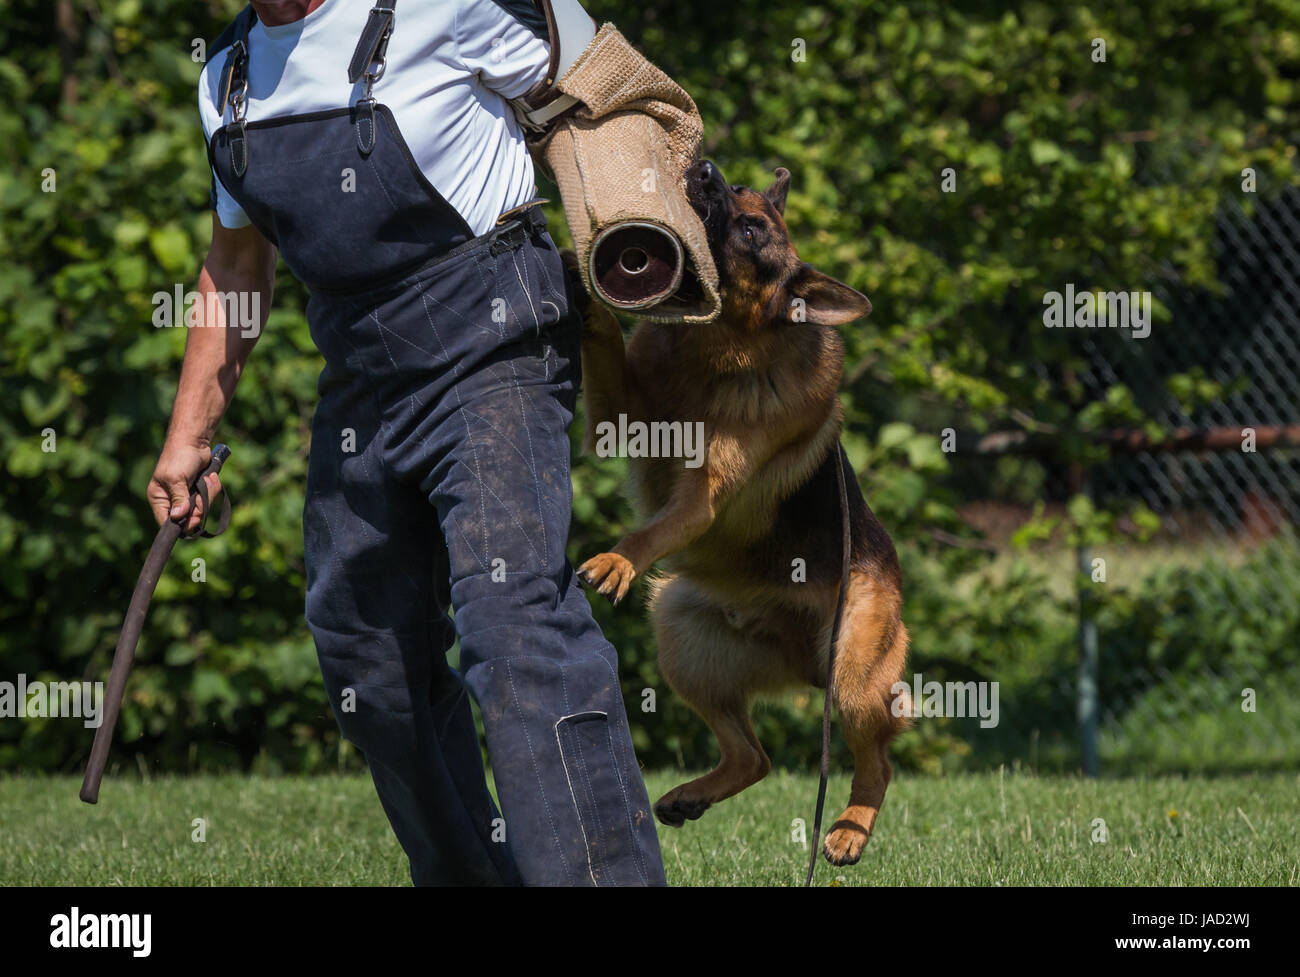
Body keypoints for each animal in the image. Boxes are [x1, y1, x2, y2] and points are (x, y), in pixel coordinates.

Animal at [574, 162, 909, 867]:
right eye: (738, 189)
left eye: (753, 228)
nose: (704, 167)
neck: (721, 344)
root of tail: (804, 658)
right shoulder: (621, 413)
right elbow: (609, 343)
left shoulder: (701, 498)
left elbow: (654, 530)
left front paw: (618, 557)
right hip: (680, 628)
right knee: (753, 758)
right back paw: (691, 796)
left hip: (853, 675)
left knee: (877, 761)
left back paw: (849, 828)